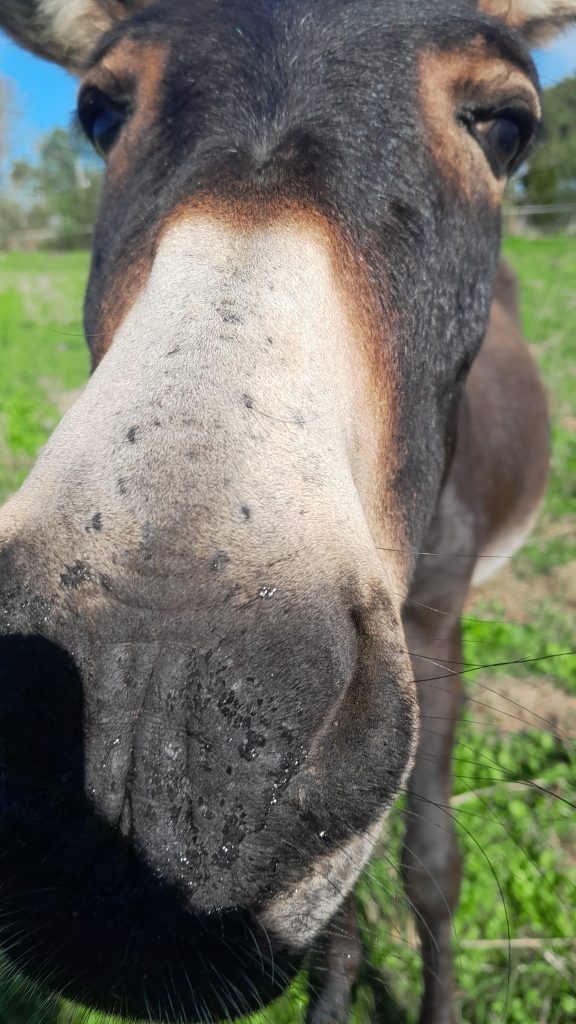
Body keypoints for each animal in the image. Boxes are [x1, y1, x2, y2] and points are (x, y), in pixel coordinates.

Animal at [0, 2, 572, 1022]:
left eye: (509, 126)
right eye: (100, 112)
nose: (146, 724)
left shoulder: (437, 626)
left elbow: (431, 868)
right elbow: (343, 912)